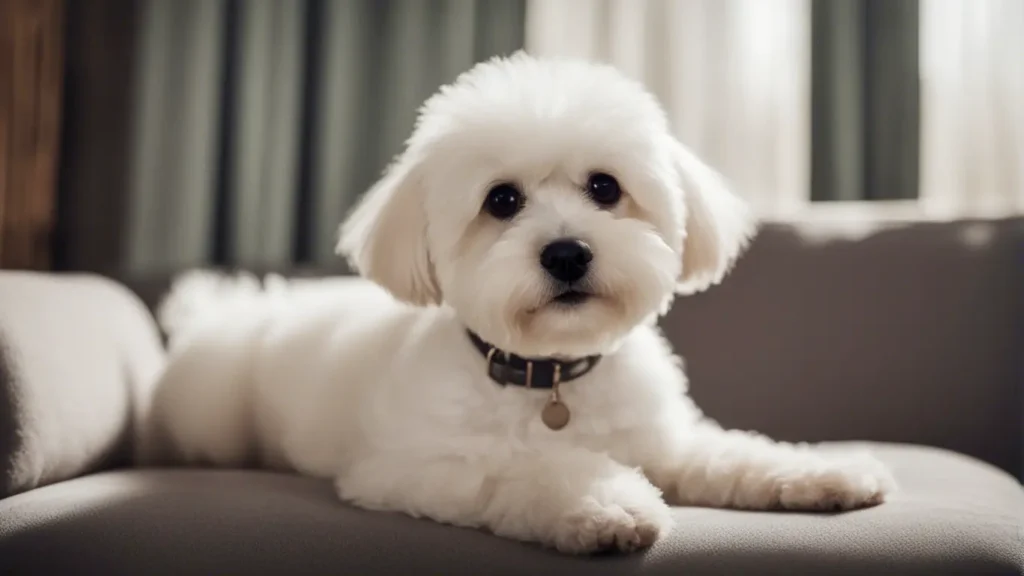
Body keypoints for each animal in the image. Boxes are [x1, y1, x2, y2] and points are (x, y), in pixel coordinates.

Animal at [144, 52, 897, 553]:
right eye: (501, 200)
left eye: (604, 187)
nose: (567, 254)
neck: (552, 376)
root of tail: (227, 313)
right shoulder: (414, 469)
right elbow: (530, 469)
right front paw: (605, 502)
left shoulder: (665, 440)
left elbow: (733, 454)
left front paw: (822, 471)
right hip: (211, 414)